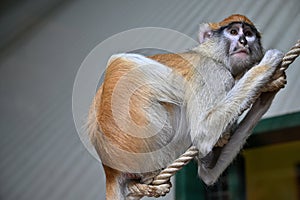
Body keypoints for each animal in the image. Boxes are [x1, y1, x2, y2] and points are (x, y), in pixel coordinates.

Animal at [88, 14, 286, 198]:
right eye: (233, 31)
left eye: (249, 34)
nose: (243, 41)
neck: (211, 54)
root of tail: (110, 170)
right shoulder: (214, 72)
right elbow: (203, 132)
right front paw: (266, 64)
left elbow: (207, 172)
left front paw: (267, 94)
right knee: (121, 62)